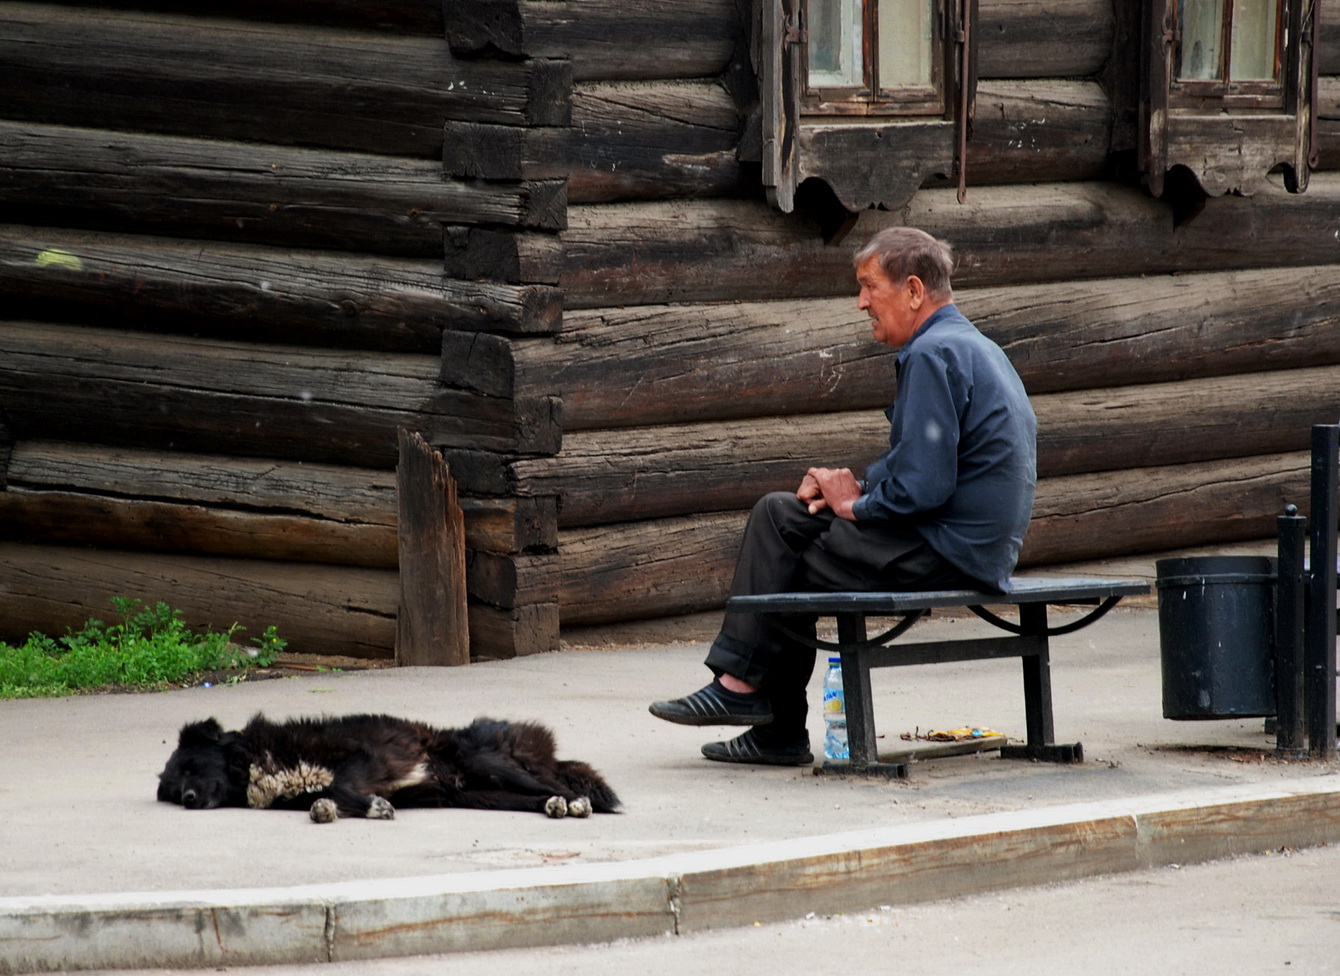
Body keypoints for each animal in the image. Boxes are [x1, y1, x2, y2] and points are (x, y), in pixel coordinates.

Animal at [158, 707, 621, 825]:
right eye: (174, 790)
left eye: (193, 766)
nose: (189, 798)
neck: (254, 760)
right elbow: (328, 797)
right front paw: (325, 809)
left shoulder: (362, 758)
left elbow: (342, 785)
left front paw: (374, 806)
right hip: (482, 794)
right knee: (538, 796)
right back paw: (555, 807)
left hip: (490, 763)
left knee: (557, 785)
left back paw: (576, 803)